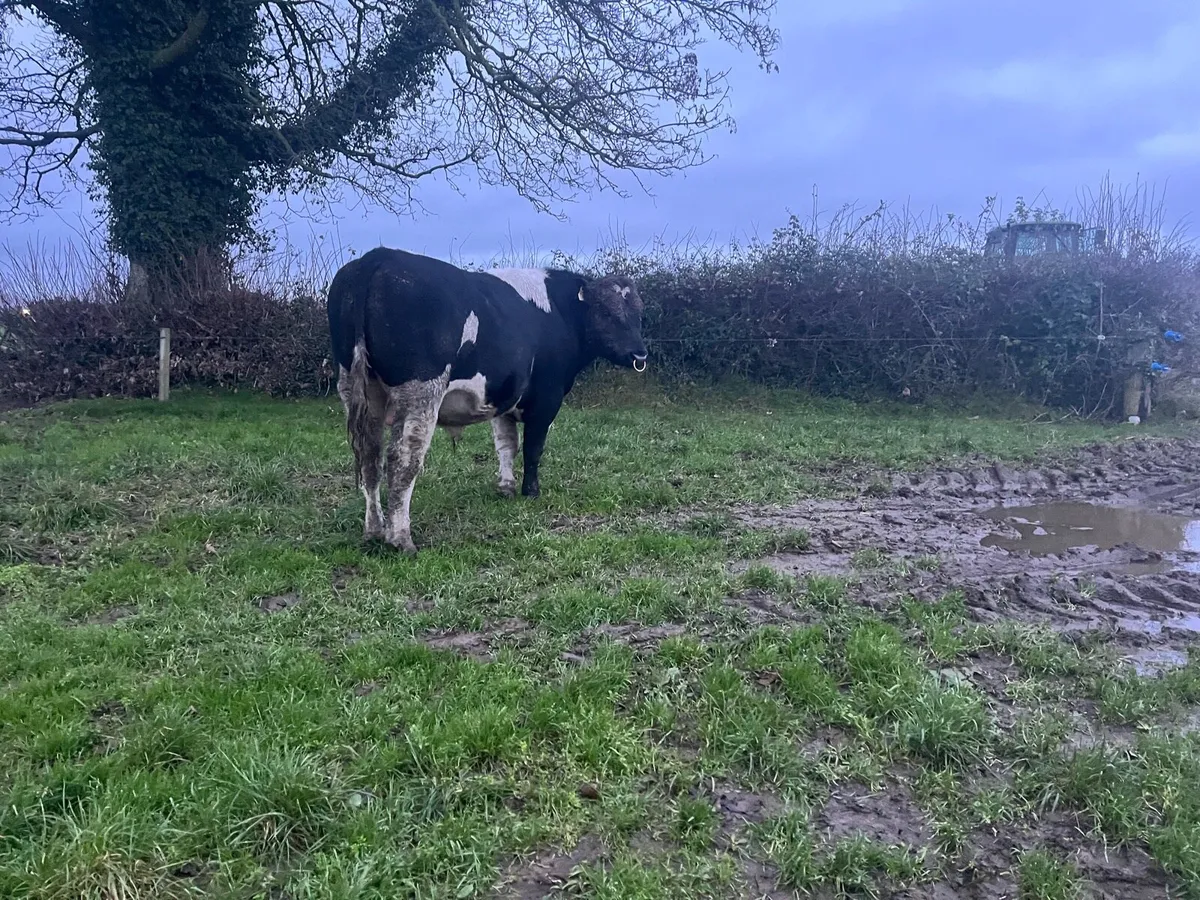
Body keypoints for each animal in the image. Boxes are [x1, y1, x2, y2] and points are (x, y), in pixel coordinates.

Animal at [326, 247, 648, 553]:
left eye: (638, 313)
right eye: (606, 312)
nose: (640, 353)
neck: (561, 312)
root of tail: (377, 257)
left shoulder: (504, 396)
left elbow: (506, 444)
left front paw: (506, 487)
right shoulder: (547, 397)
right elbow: (533, 448)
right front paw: (531, 491)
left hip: (357, 388)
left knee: (369, 457)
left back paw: (374, 531)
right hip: (421, 390)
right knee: (402, 459)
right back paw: (400, 539)